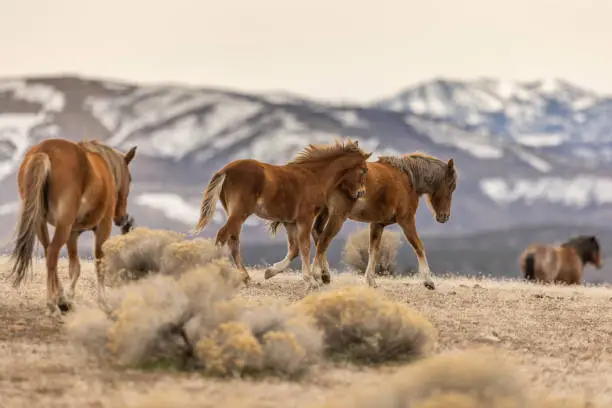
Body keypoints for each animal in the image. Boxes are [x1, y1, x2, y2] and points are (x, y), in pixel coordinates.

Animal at [8, 139, 137, 316]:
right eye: (129, 179)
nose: (122, 218)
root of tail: (44, 152)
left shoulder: (73, 234)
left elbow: (75, 267)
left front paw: (67, 299)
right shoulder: (103, 227)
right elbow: (99, 263)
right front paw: (103, 302)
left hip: (40, 222)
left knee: (49, 252)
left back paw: (59, 298)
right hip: (63, 225)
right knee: (52, 252)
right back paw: (51, 303)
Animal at [194, 139, 370, 288]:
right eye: (363, 170)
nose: (361, 193)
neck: (314, 176)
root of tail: (226, 170)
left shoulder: (289, 222)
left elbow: (294, 249)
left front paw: (270, 272)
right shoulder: (305, 218)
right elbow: (305, 247)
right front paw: (311, 281)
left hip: (236, 214)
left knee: (233, 240)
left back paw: (246, 278)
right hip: (240, 212)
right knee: (223, 235)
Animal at [266, 152, 456, 290]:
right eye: (451, 186)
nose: (444, 217)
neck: (408, 179)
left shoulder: (378, 224)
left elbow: (374, 250)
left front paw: (371, 280)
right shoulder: (406, 220)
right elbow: (419, 246)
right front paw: (428, 280)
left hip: (326, 213)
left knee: (317, 234)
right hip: (337, 216)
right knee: (323, 240)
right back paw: (315, 275)